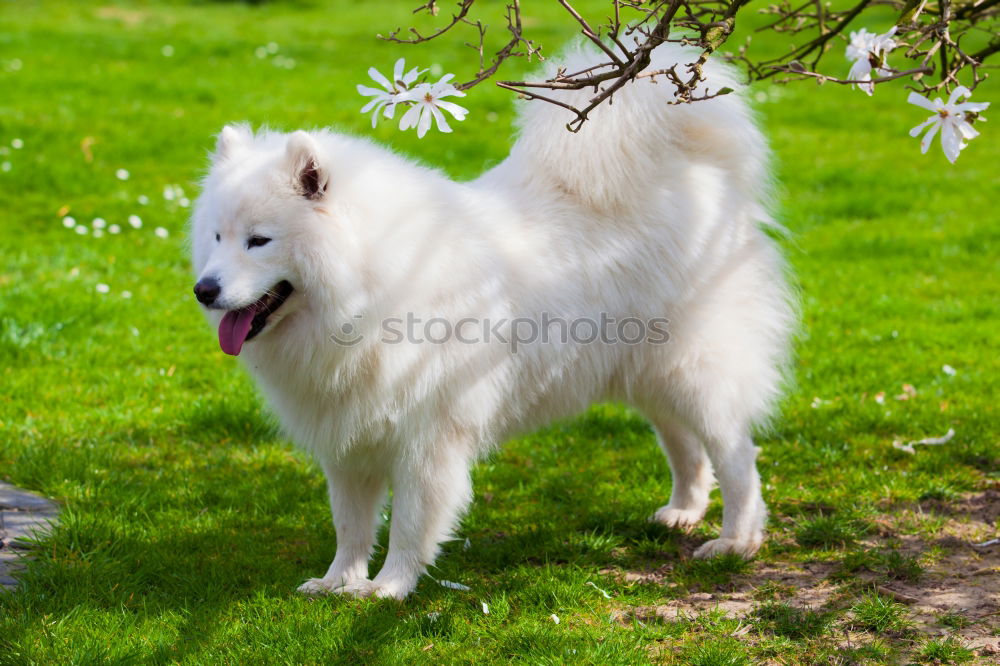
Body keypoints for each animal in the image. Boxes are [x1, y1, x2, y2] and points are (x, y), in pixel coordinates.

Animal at [191, 44, 792, 600]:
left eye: (259, 240)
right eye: (217, 236)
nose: (204, 290)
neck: (370, 288)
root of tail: (693, 171)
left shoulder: (428, 440)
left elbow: (410, 525)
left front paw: (388, 588)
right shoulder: (348, 439)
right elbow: (351, 524)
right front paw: (338, 581)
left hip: (694, 370)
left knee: (736, 455)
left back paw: (736, 541)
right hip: (647, 371)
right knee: (683, 443)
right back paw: (683, 510)